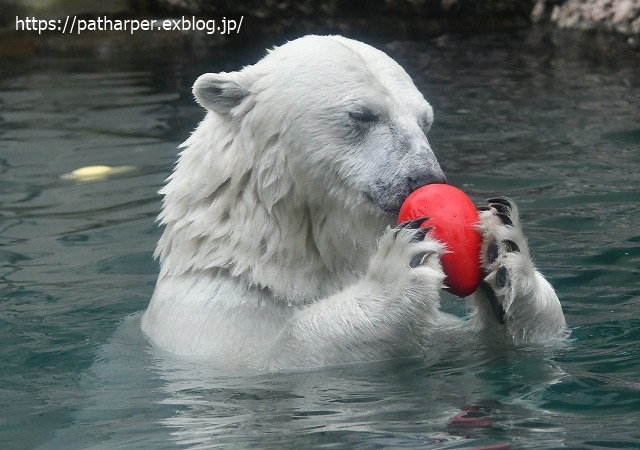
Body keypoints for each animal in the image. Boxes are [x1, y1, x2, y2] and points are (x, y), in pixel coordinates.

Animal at [142, 35, 568, 370]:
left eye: (425, 120)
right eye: (362, 114)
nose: (425, 178)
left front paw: (503, 246)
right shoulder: (209, 322)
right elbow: (283, 352)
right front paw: (398, 269)